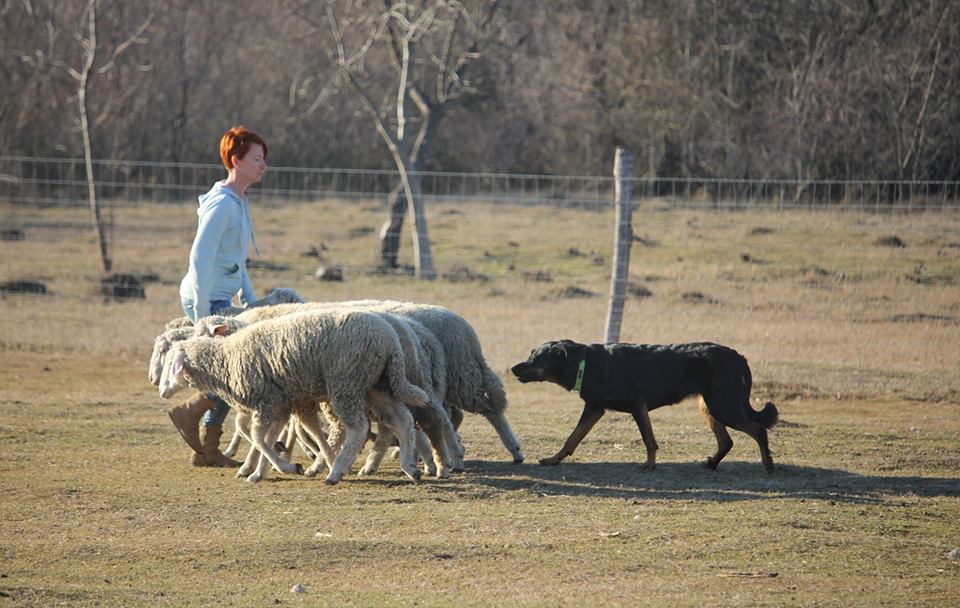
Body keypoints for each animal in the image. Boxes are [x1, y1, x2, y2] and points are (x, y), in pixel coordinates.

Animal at [159, 308, 430, 484]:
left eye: (171, 363)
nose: (161, 391)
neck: (226, 357)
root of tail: (390, 339)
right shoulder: (281, 404)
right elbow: (266, 437)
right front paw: (260, 471)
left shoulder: (267, 402)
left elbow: (258, 437)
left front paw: (287, 466)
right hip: (378, 385)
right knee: (402, 420)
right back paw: (410, 466)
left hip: (346, 383)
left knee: (358, 428)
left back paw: (336, 472)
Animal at [512, 340, 776, 472]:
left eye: (534, 357)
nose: (513, 368)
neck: (585, 364)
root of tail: (739, 357)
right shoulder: (595, 408)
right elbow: (572, 438)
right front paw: (554, 460)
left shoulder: (637, 406)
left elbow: (649, 439)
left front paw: (649, 466)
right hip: (709, 407)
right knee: (726, 441)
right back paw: (712, 464)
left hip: (723, 406)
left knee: (758, 430)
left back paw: (768, 465)